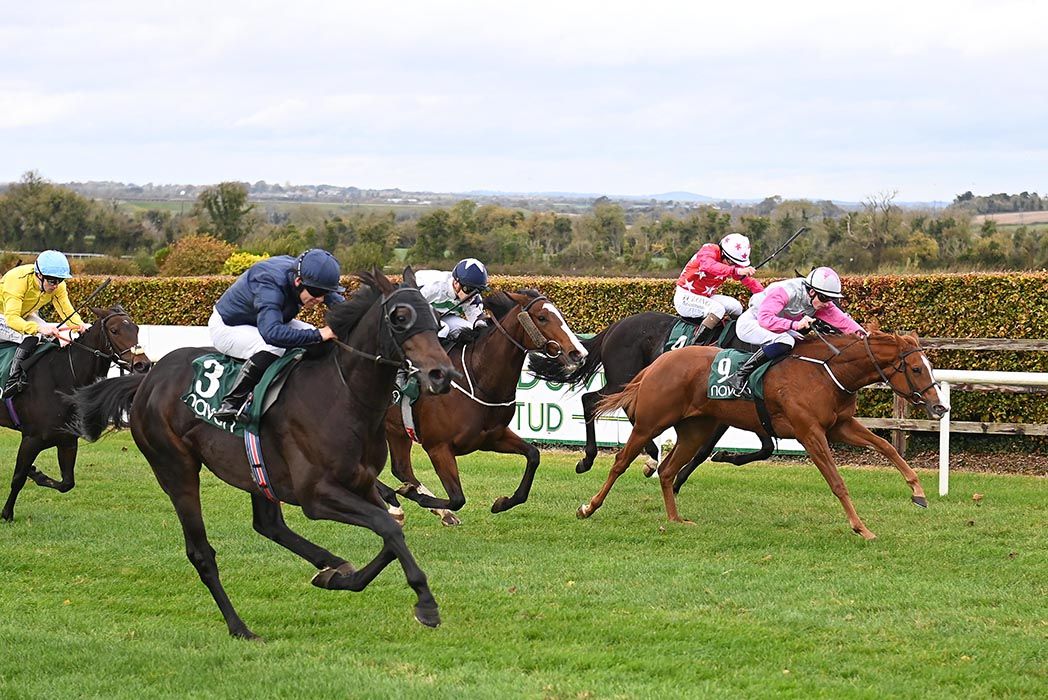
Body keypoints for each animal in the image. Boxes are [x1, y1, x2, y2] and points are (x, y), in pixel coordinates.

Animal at [66, 270, 459, 641]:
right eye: (400, 317)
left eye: (437, 320)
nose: (442, 374)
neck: (344, 394)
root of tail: (147, 380)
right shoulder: (316, 496)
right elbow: (388, 527)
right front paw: (426, 604)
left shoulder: (361, 483)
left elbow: (392, 530)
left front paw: (339, 578)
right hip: (176, 470)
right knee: (201, 552)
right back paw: (240, 627)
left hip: (257, 474)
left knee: (268, 524)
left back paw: (330, 565)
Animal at [383, 289, 591, 523]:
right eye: (542, 317)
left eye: (560, 314)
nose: (579, 353)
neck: (477, 380)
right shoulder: (437, 447)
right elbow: (457, 499)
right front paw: (410, 494)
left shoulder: (492, 437)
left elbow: (533, 455)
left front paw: (502, 503)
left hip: (396, 430)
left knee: (401, 469)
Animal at [582, 331, 951, 540]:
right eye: (916, 368)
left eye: (930, 368)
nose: (940, 407)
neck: (826, 372)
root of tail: (658, 362)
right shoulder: (809, 432)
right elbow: (837, 481)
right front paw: (861, 527)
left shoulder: (840, 425)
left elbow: (887, 447)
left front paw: (918, 492)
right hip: (651, 421)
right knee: (621, 461)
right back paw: (588, 506)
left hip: (695, 428)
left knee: (669, 470)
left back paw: (675, 519)